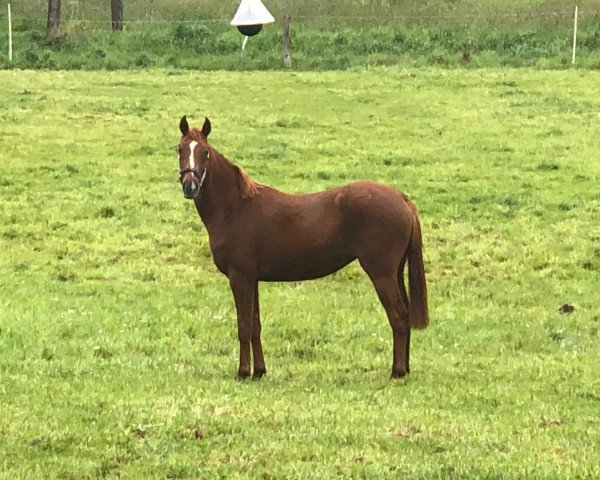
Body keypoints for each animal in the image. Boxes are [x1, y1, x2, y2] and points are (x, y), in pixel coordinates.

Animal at [176, 115, 428, 378]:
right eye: (180, 149)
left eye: (204, 152)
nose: (190, 186)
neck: (236, 208)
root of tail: (402, 198)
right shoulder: (252, 279)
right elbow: (255, 324)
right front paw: (259, 371)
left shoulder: (240, 276)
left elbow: (243, 325)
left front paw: (243, 372)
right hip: (395, 271)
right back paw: (405, 368)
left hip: (381, 273)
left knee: (398, 315)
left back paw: (397, 371)